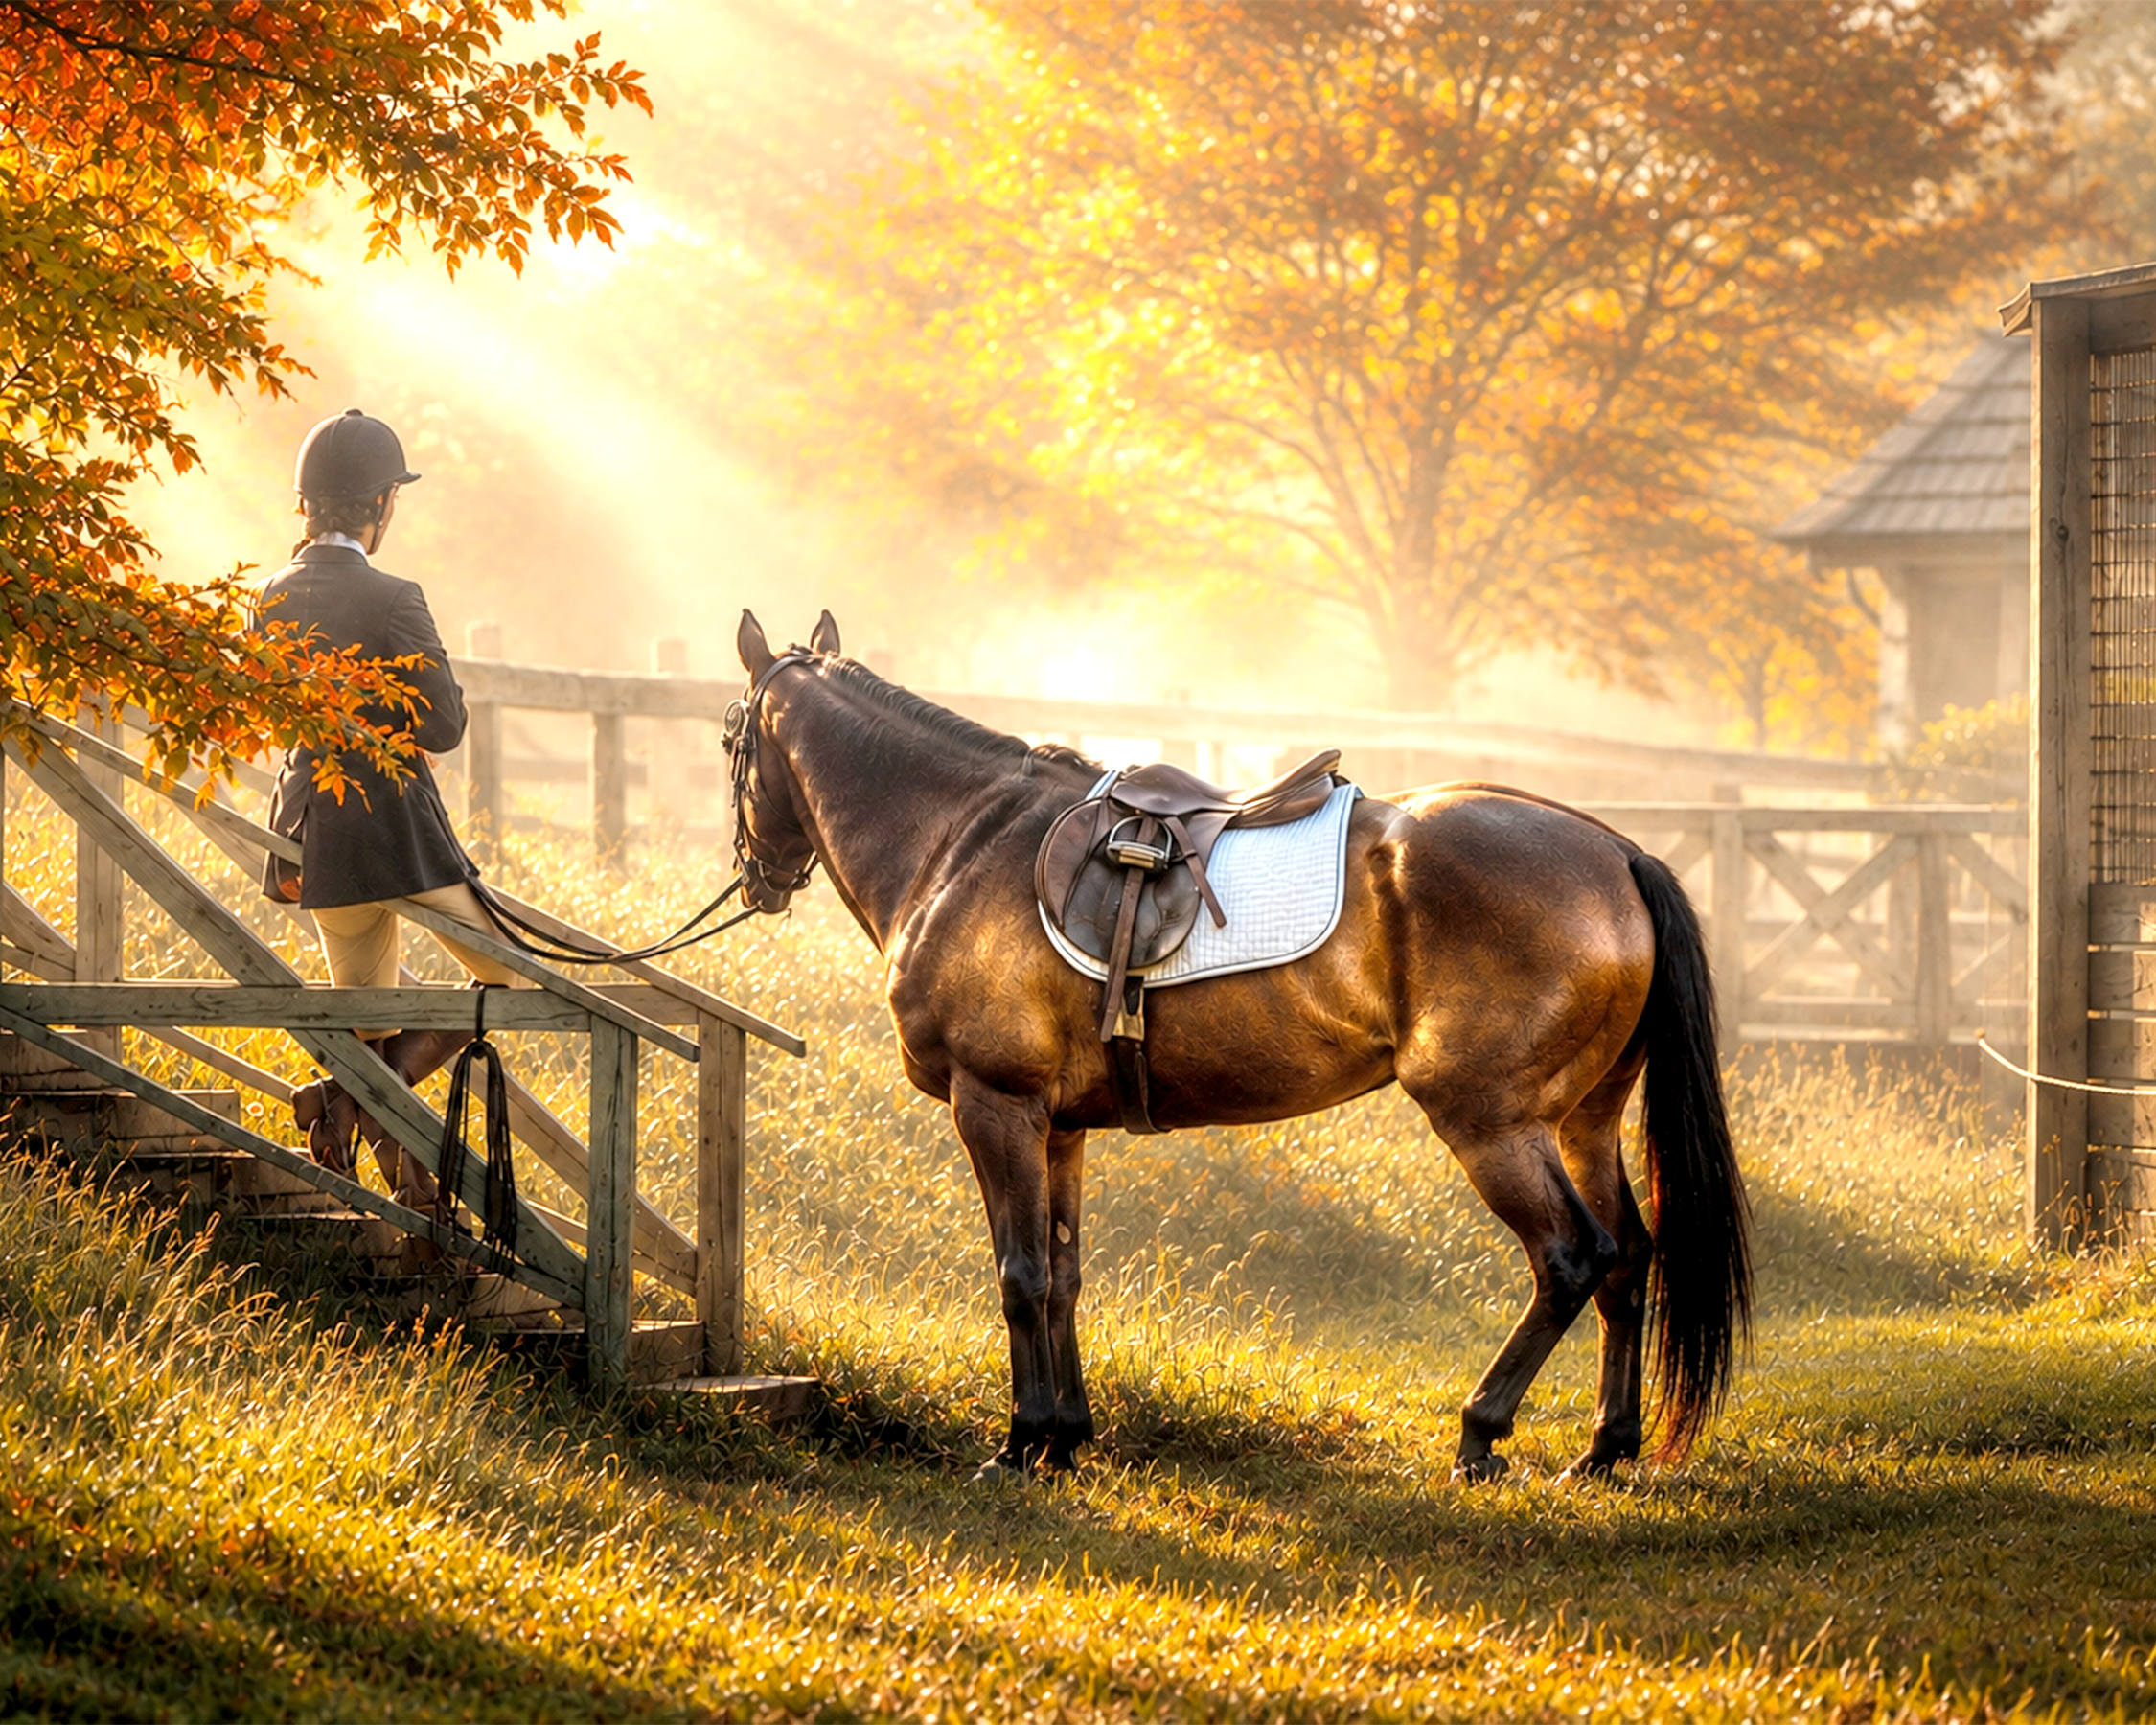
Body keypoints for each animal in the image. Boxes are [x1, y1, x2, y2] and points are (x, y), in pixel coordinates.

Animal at [725, 610, 1750, 1483]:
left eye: (733, 734)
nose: (757, 878)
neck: (964, 841)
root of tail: (1618, 853)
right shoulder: (1060, 1127)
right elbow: (1063, 1277)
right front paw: (1066, 1438)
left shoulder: (997, 1107)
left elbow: (1019, 1276)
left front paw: (1019, 1445)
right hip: (1584, 1120)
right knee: (1628, 1257)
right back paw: (1606, 1447)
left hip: (1492, 1125)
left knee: (1572, 1259)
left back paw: (1481, 1432)